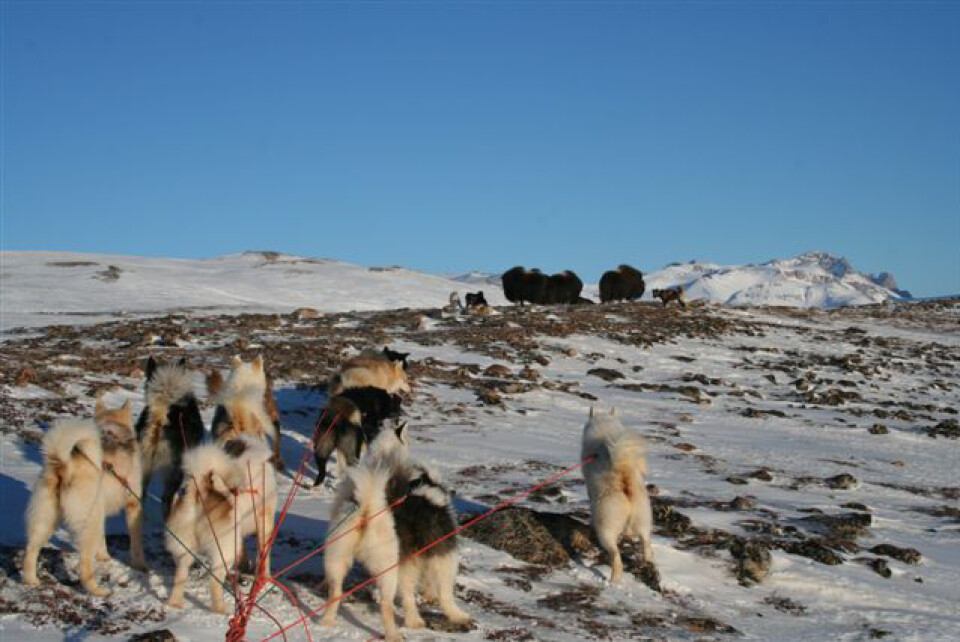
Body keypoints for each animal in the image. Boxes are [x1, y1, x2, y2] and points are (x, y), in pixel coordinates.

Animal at [23, 398, 148, 596]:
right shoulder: (133, 506)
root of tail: (65, 465)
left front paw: (104, 557)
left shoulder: (102, 513)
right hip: (88, 524)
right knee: (84, 564)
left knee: (31, 550)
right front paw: (140, 565)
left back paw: (31, 581)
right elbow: (136, 545)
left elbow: (103, 541)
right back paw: (98, 591)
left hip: (45, 521)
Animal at [165, 432, 276, 612]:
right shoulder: (265, 523)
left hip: (184, 548)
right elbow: (264, 555)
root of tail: (200, 489)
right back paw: (220, 609)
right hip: (224, 550)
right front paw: (265, 578)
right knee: (215, 580)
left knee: (180, 573)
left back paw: (175, 603)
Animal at [324, 420, 470, 636]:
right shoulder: (438, 547)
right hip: (420, 560)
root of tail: (369, 506)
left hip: (340, 559)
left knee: (336, 592)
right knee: (432, 595)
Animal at [576, 408, 652, 584]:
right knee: (646, 542)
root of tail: (623, 474)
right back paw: (647, 561)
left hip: (607, 525)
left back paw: (613, 580)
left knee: (616, 556)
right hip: (643, 516)